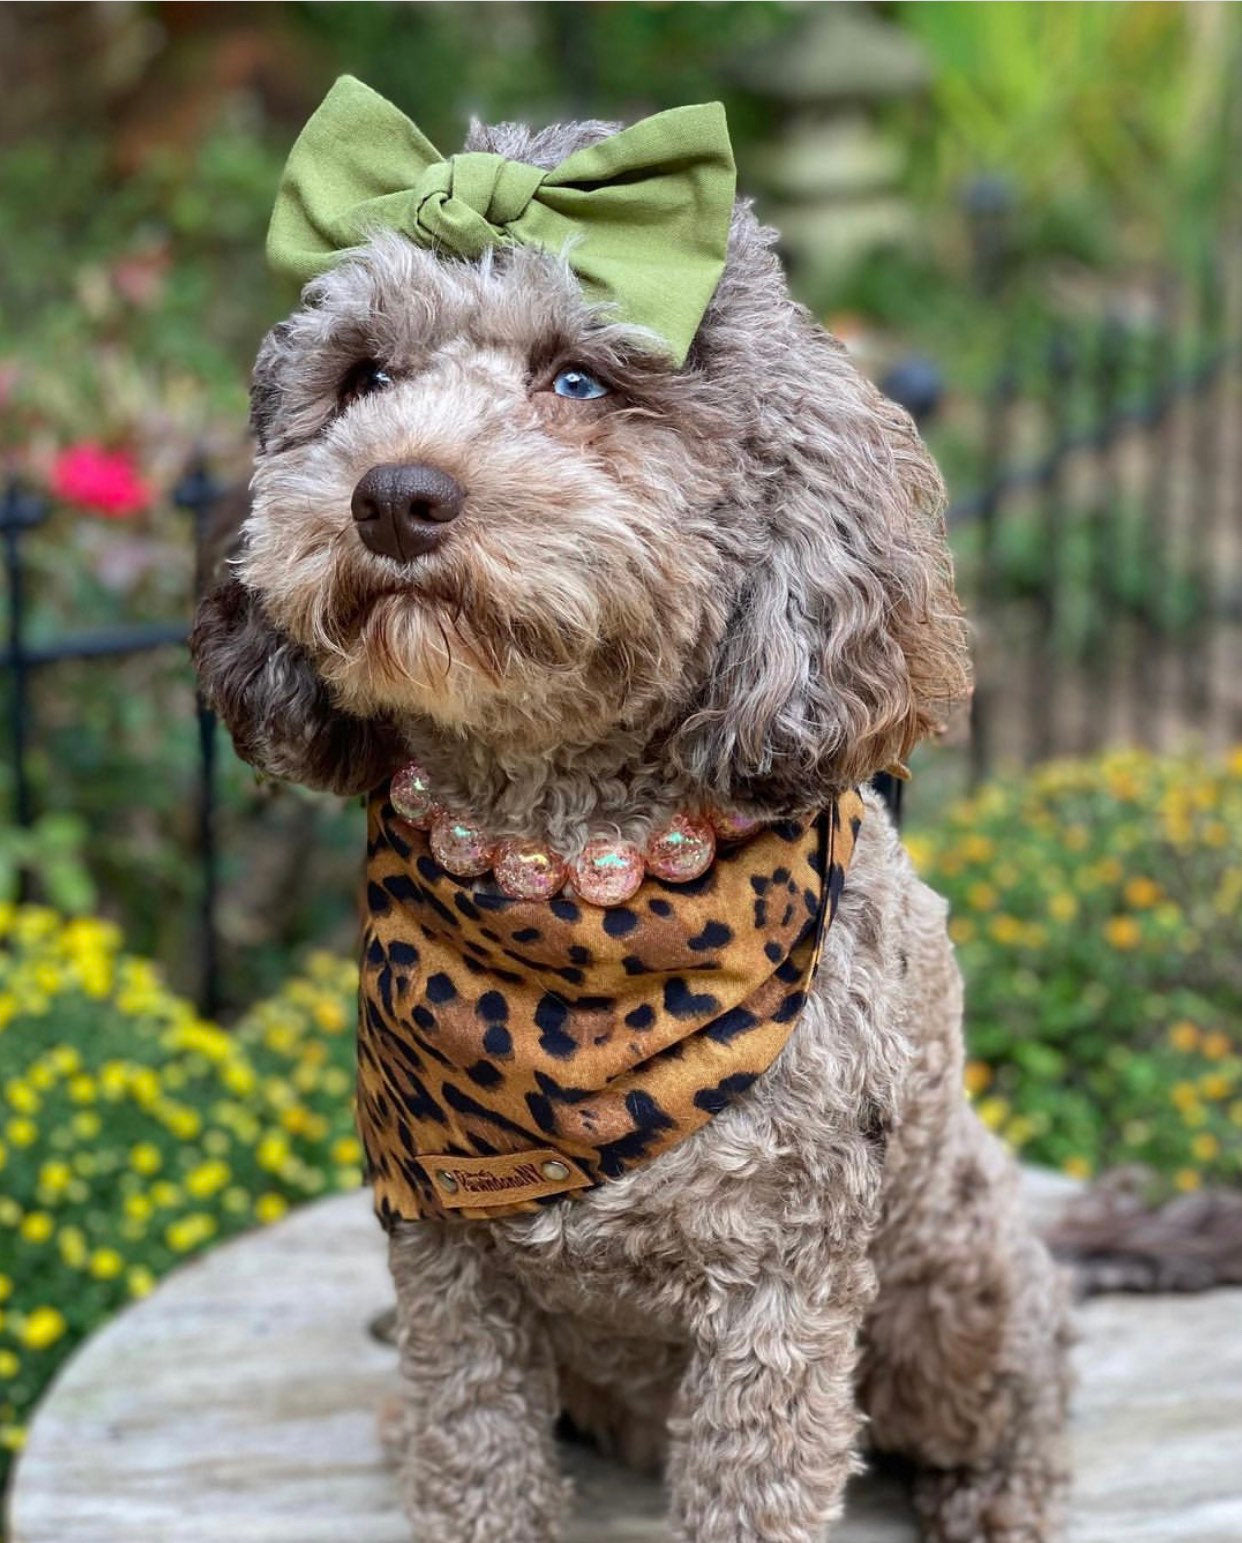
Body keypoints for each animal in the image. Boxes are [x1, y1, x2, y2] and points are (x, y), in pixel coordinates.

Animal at [193, 93, 1067, 1543]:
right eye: (365, 376)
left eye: (578, 382)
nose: (396, 495)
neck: (559, 859)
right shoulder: (448, 1260)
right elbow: (474, 1454)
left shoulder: (779, 1282)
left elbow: (758, 1480)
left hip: (952, 1284)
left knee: (1031, 1368)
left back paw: (997, 1491)